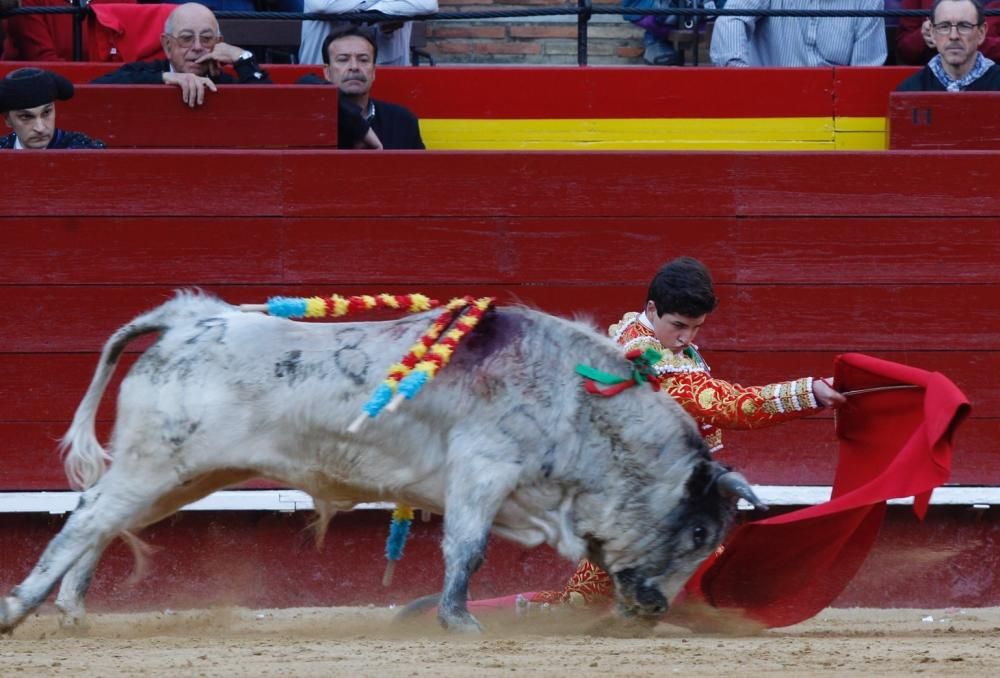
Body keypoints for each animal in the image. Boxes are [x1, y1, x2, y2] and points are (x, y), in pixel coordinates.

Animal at [1, 294, 764, 636]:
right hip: (158, 462)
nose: (656, 609)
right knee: (86, 521)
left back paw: (72, 609)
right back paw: (18, 609)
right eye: (701, 533)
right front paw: (458, 622)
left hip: (184, 474)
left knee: (100, 518)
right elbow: (466, 549)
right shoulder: (483, 472)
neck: (581, 403)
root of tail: (192, 318)